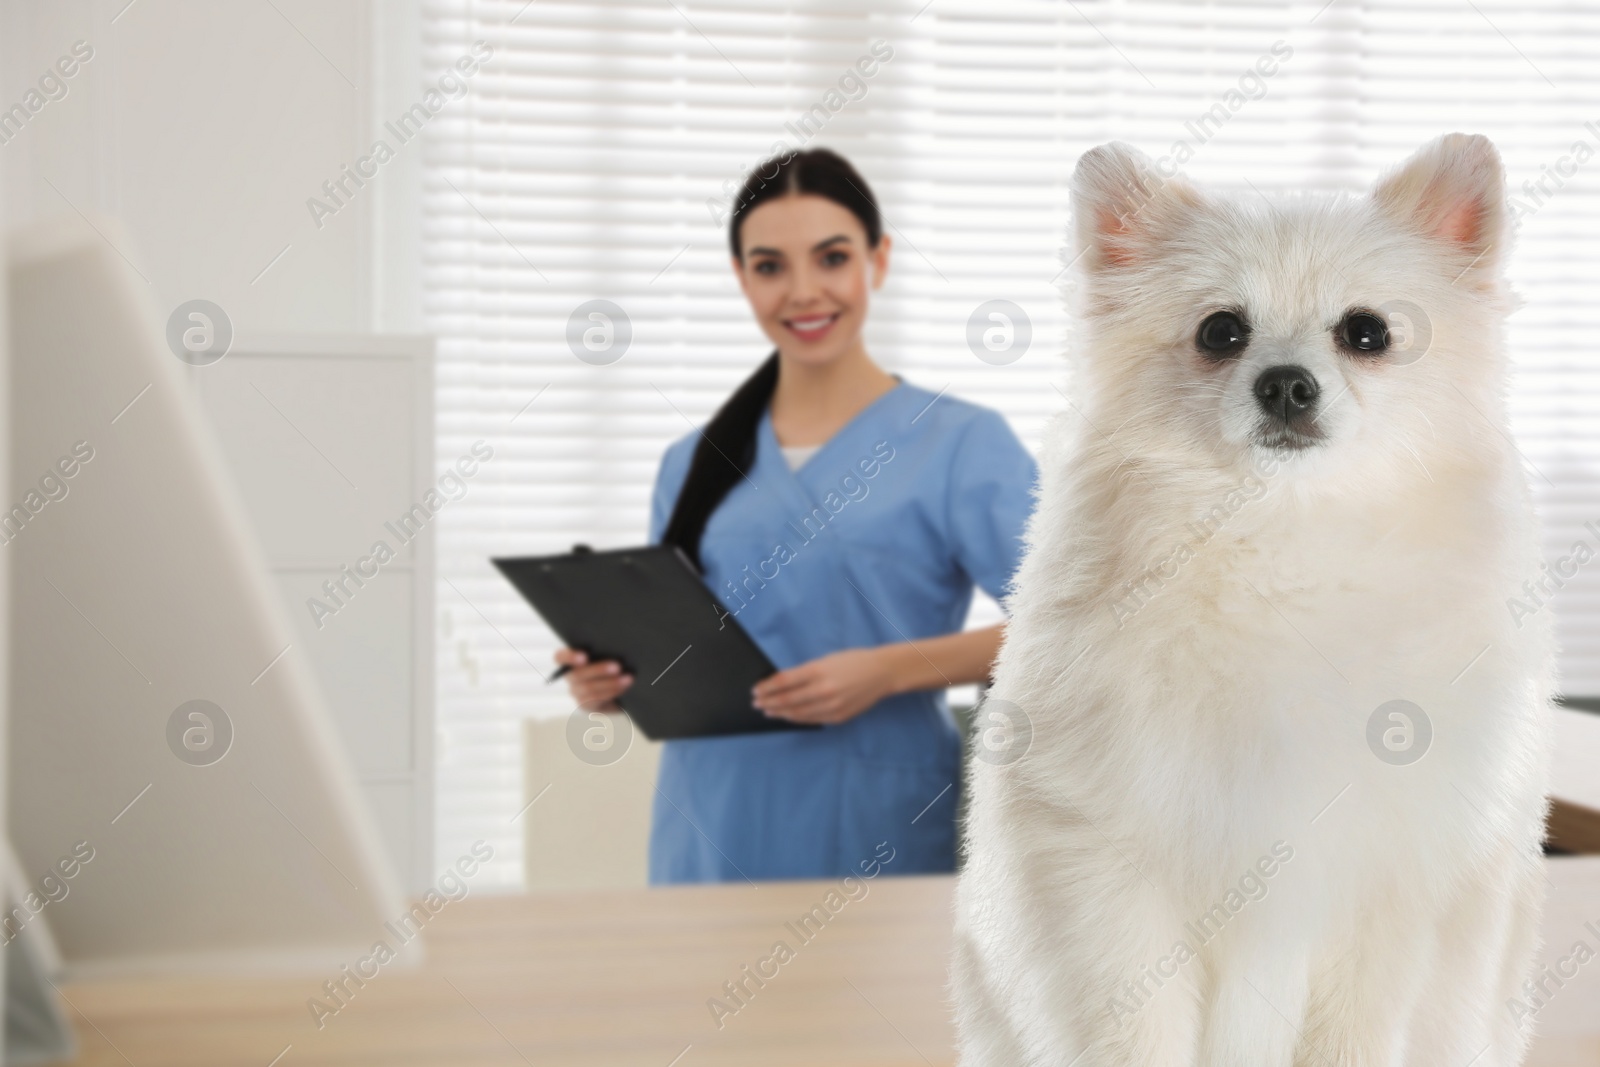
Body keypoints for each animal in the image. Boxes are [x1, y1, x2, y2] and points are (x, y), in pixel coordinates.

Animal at [953, 135, 1555, 1067]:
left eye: (1368, 333)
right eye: (1221, 332)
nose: (1286, 384)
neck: (1283, 541)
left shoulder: (1395, 883)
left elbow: (1360, 1034)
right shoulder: (1108, 874)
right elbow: (1135, 1031)